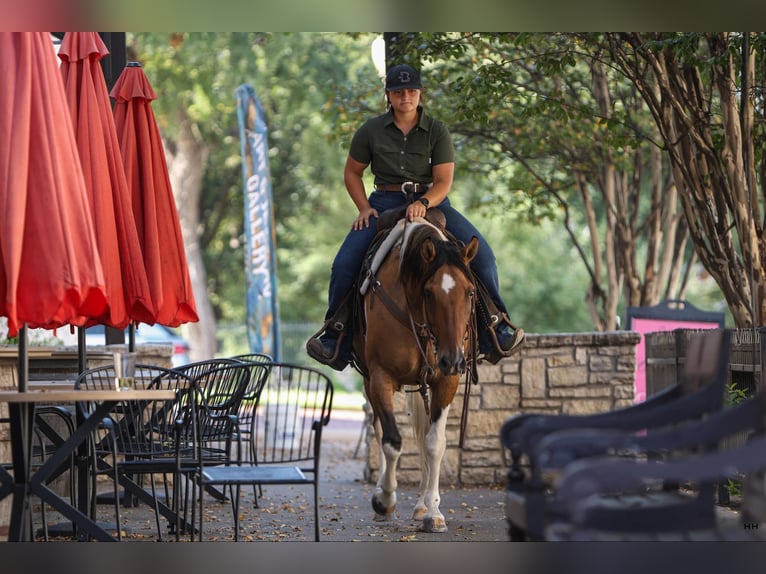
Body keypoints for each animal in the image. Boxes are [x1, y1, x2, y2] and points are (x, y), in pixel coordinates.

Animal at [353, 215, 479, 533]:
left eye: (471, 291)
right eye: (429, 292)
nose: (453, 359)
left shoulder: (446, 380)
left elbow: (434, 443)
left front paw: (433, 511)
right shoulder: (381, 376)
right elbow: (391, 440)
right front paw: (384, 500)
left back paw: (421, 505)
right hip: (370, 381)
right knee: (380, 429)